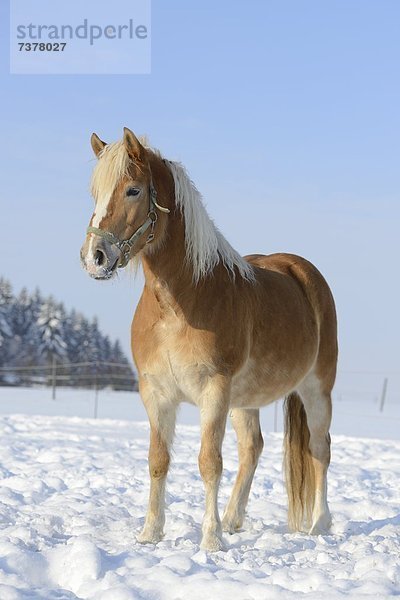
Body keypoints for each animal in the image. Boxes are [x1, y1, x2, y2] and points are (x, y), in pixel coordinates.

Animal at [80, 127, 338, 552]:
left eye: (133, 190)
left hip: (316, 390)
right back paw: (234, 519)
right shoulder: (156, 393)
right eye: (94, 192)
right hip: (245, 400)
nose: (94, 257)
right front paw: (150, 533)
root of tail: (301, 271)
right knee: (252, 448)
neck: (178, 305)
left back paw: (318, 524)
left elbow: (209, 463)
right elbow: (158, 460)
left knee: (319, 450)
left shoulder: (213, 391)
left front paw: (210, 540)